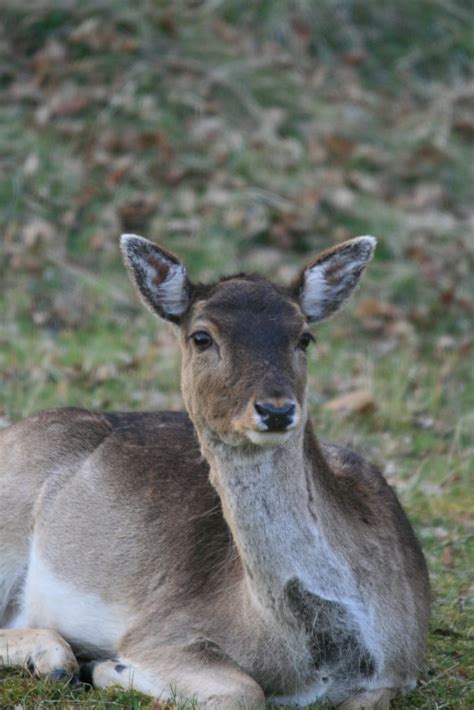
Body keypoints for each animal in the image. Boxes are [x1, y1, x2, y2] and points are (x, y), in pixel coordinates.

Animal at [0, 235, 430, 708]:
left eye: (305, 336)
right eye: (201, 337)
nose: (276, 410)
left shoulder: (400, 669)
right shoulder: (163, 629)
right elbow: (245, 689)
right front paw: (111, 667)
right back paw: (57, 660)